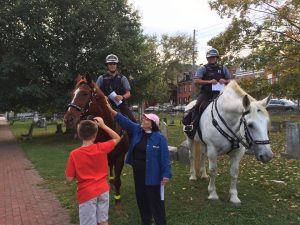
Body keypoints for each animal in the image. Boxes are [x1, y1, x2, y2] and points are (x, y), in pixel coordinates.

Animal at [63, 74, 128, 205]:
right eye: (72, 94)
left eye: (85, 93)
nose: (68, 119)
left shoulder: (120, 157)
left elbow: (118, 179)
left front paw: (117, 198)